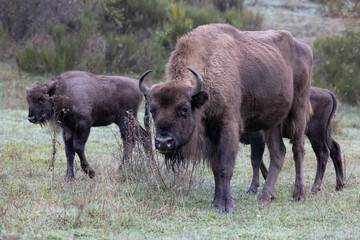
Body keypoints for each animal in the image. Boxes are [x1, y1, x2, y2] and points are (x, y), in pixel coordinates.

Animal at [139, 23, 314, 213]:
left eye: (184, 109)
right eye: (153, 110)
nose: (164, 142)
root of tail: (304, 47)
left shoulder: (229, 128)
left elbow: (225, 168)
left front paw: (228, 206)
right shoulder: (211, 135)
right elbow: (216, 169)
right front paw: (216, 203)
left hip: (299, 106)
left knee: (298, 149)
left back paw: (299, 194)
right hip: (272, 122)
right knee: (278, 153)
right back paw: (264, 197)